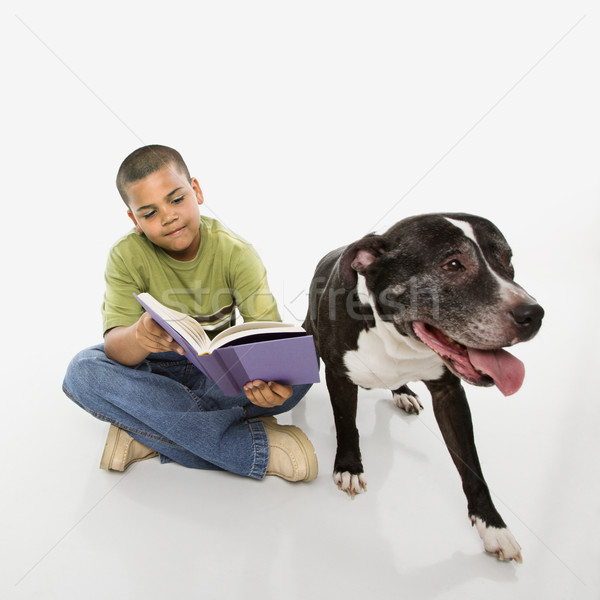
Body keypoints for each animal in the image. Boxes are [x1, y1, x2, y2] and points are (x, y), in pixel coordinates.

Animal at [304, 214, 544, 564]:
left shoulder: (450, 394)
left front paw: (493, 526)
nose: (533, 314)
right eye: (453, 264)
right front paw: (349, 466)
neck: (396, 338)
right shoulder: (339, 376)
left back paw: (402, 391)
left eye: (507, 260)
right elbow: (347, 426)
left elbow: (471, 465)